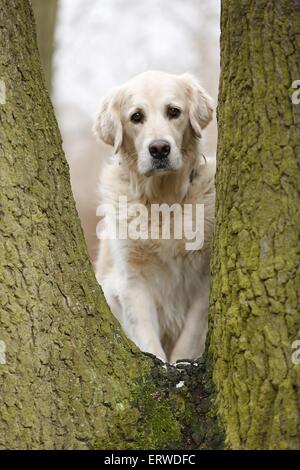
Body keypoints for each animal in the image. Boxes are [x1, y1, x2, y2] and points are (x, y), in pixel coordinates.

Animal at [92, 70, 214, 364]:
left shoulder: (204, 278)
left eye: (174, 111)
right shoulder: (132, 280)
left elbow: (190, 337)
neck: (162, 200)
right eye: (136, 116)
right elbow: (147, 337)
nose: (159, 149)